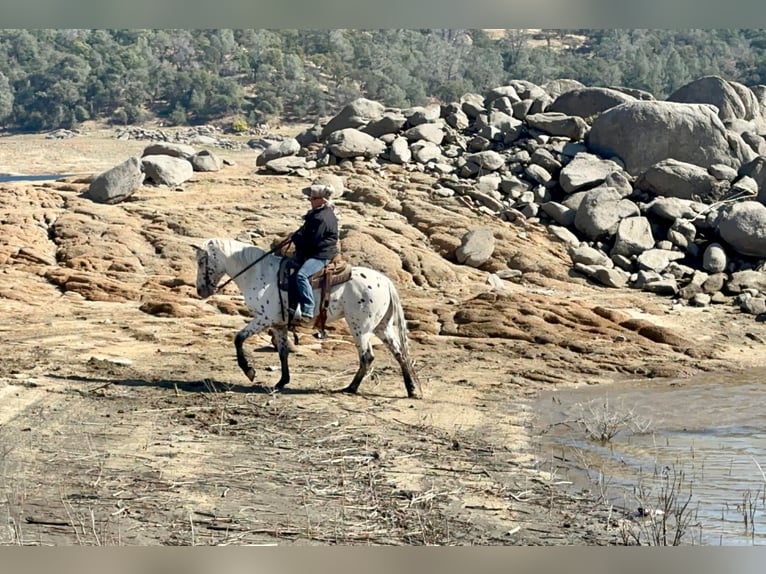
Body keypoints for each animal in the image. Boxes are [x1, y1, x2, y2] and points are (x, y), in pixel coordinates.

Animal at [190, 238, 424, 400]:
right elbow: (283, 352)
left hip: (361, 327)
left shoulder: (264, 318)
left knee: (367, 356)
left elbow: (238, 338)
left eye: (201, 261)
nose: (201, 291)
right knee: (399, 353)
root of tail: (385, 281)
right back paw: (411, 389)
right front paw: (282, 381)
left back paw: (351, 388)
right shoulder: (278, 324)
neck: (258, 273)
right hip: (382, 327)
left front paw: (249, 371)